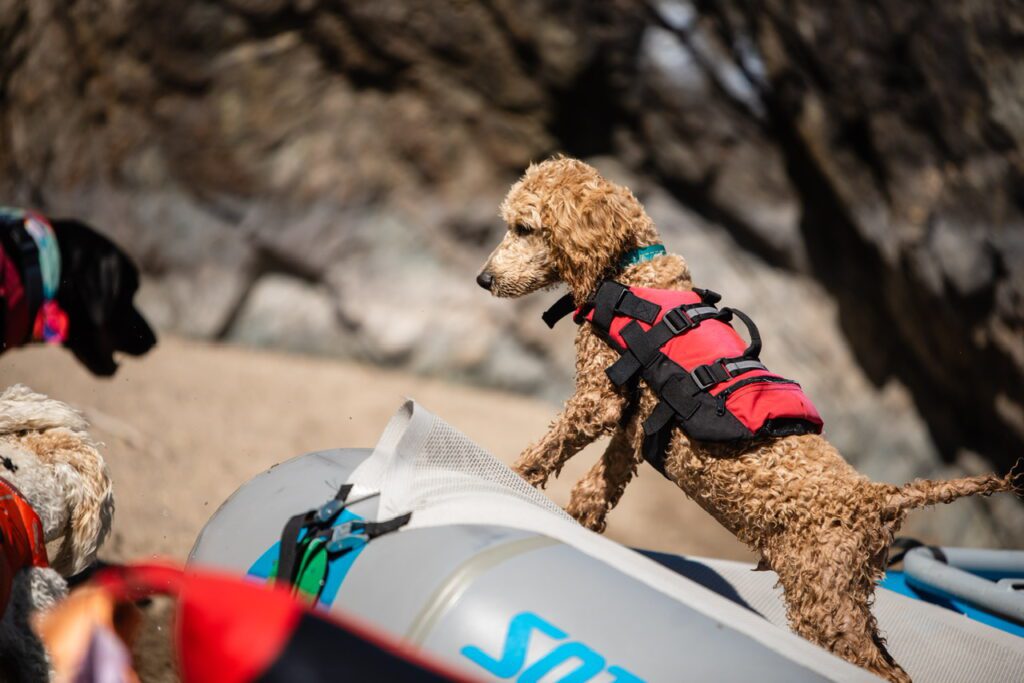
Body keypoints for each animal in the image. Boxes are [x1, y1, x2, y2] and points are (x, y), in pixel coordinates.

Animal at [477, 157, 1020, 682]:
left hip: (825, 602)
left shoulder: (600, 398)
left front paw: (510, 478)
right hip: (845, 592)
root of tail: (879, 497)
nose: (483, 279)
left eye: (524, 228)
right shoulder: (632, 421)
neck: (633, 272)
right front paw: (579, 521)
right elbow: (600, 484)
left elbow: (546, 451)